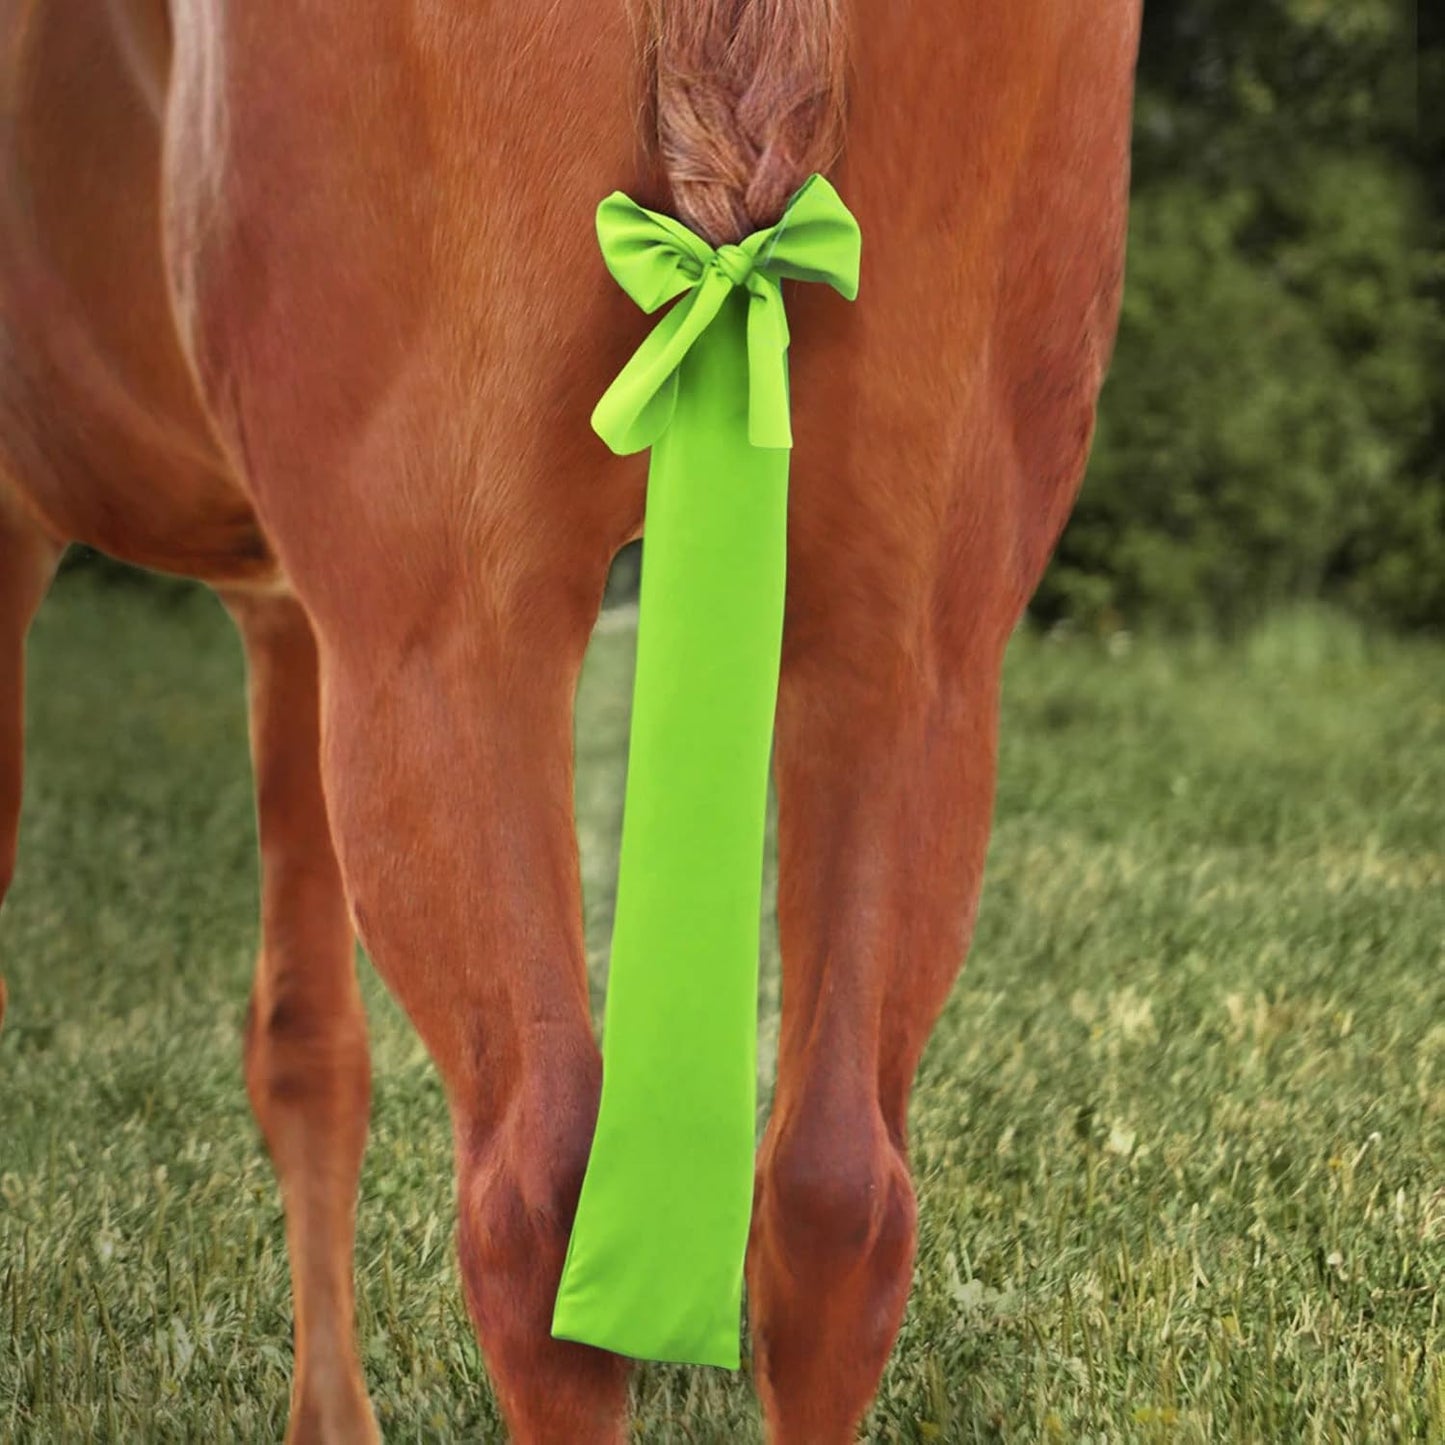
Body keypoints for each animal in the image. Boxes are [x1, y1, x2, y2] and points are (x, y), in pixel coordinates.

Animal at [0, 1, 1141, 1438]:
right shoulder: (287, 616)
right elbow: (309, 1048)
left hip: (444, 645)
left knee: (533, 1202)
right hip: (913, 647)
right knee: (837, 1197)